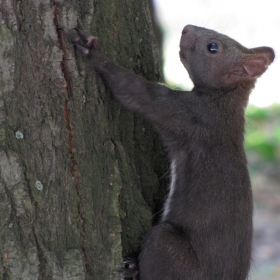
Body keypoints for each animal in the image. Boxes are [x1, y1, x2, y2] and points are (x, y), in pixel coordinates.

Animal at [59, 24, 274, 280]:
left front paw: (92, 52)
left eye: (213, 47)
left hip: (169, 249)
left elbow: (136, 92)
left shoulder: (187, 115)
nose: (186, 28)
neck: (224, 101)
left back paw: (134, 269)